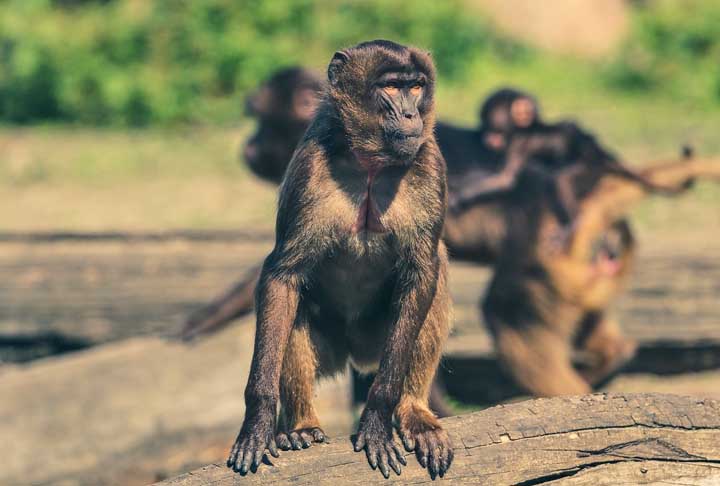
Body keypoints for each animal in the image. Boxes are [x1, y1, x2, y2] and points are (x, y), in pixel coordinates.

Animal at [225, 41, 454, 479]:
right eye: (391, 87)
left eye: (416, 86)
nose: (411, 115)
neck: (371, 164)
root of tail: (355, 354)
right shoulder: (309, 166)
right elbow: (282, 276)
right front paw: (258, 421)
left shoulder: (430, 163)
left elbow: (423, 271)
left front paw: (378, 417)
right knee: (292, 305)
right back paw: (301, 425)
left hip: (377, 340)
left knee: (435, 274)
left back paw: (413, 410)